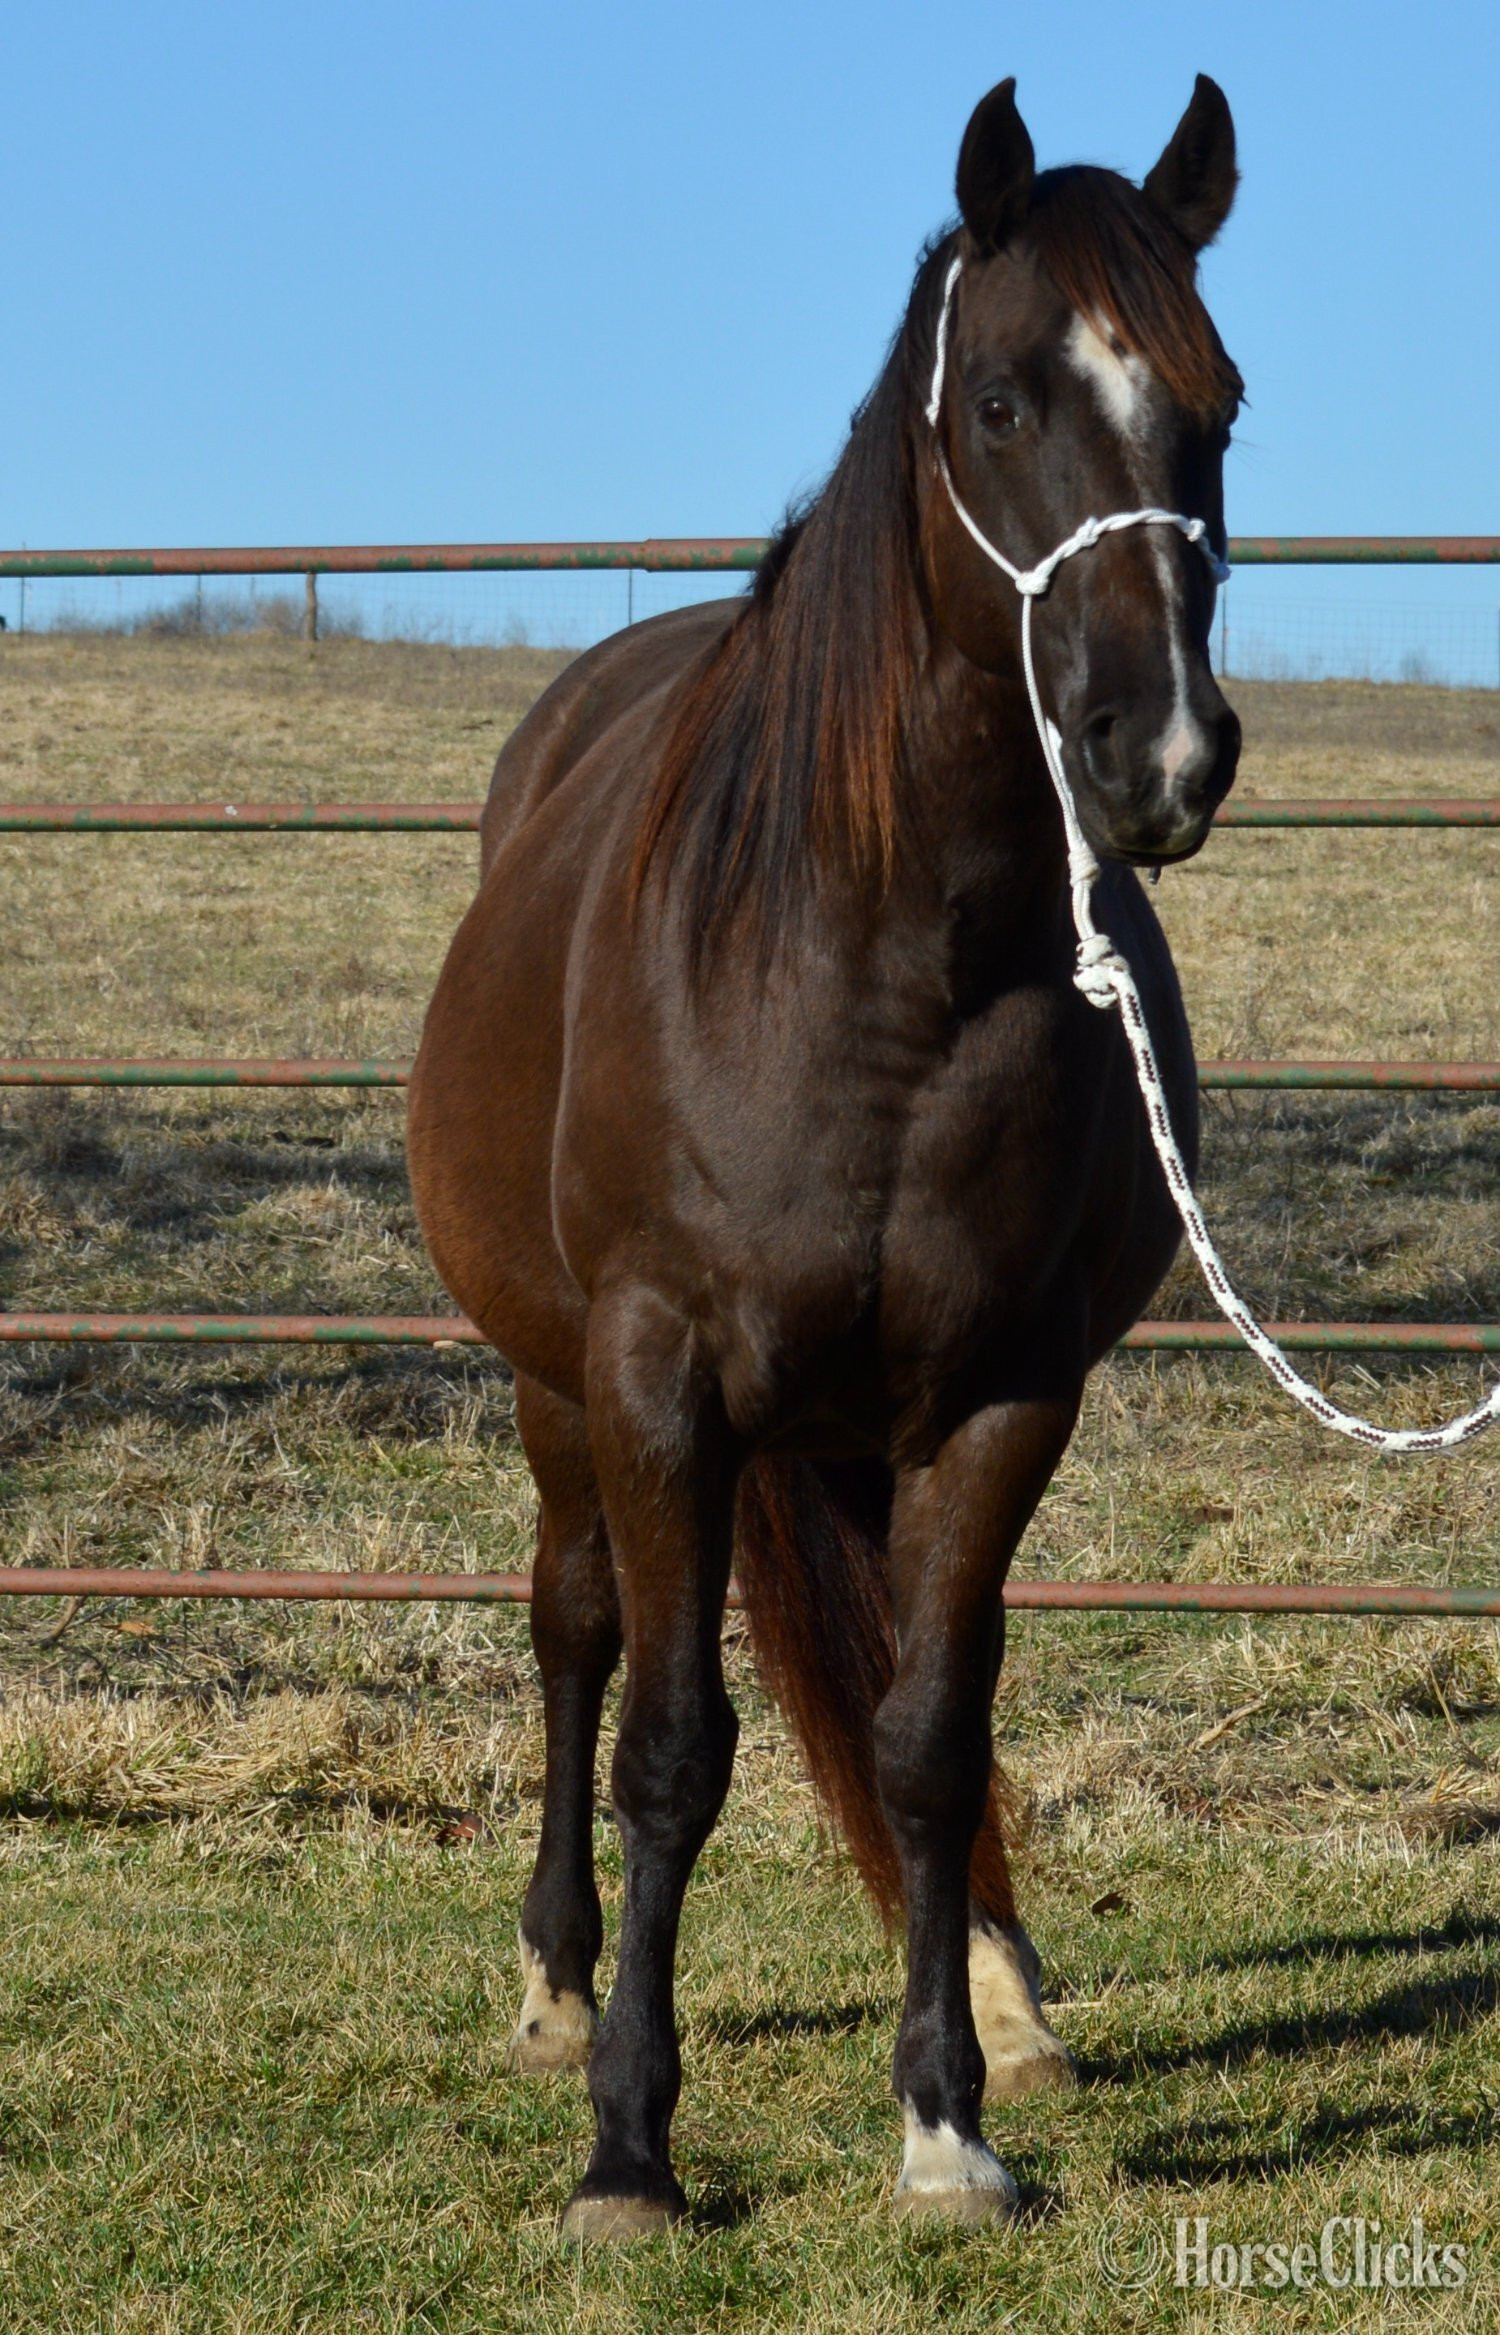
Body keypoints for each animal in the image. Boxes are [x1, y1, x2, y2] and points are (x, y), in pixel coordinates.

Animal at [408, 73, 1243, 2237]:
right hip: (558, 1389)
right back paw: (554, 1985)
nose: (1162, 755)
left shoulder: (1004, 1395)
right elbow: (672, 1746)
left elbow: (931, 1734)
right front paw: (631, 2144)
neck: (878, 965)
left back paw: (1001, 1986)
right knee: (575, 1631)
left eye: (1218, 405)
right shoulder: (657, 1382)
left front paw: (947, 2119)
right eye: (1004, 404)